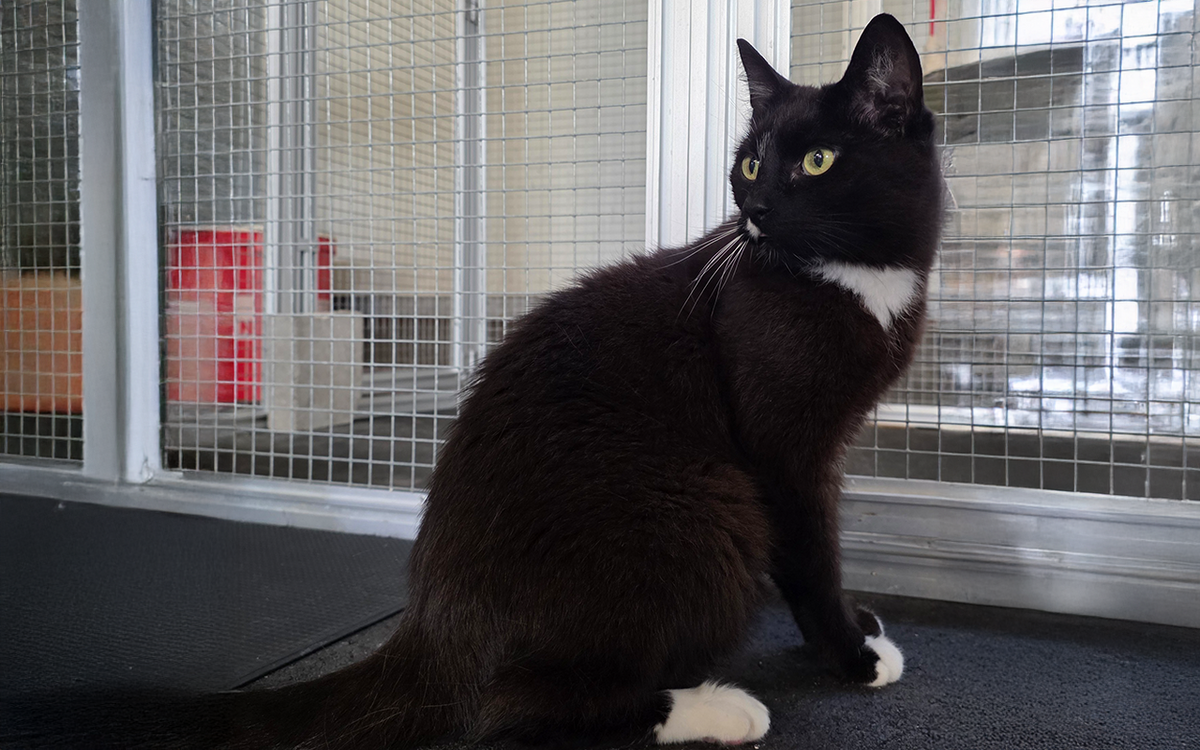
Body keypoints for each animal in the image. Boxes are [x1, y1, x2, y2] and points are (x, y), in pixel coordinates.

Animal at [1, 13, 941, 749]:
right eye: (748, 165)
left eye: (816, 161)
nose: (753, 210)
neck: (849, 278)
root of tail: (434, 626)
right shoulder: (782, 452)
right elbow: (811, 554)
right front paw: (854, 655)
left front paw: (851, 636)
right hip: (711, 506)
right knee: (505, 707)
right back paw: (712, 707)